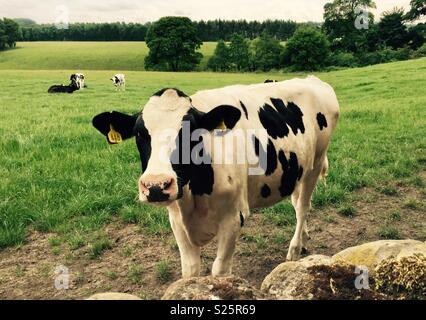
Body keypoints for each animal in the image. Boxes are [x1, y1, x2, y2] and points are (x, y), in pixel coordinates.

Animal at [92, 77, 340, 278]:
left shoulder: (233, 217)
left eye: (191, 132)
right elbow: (190, 271)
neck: (194, 193)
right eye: (139, 133)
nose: (155, 185)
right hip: (298, 168)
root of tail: (313, 80)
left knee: (303, 206)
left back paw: (295, 249)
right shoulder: (176, 220)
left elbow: (219, 270)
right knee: (297, 202)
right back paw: (304, 239)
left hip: (316, 162)